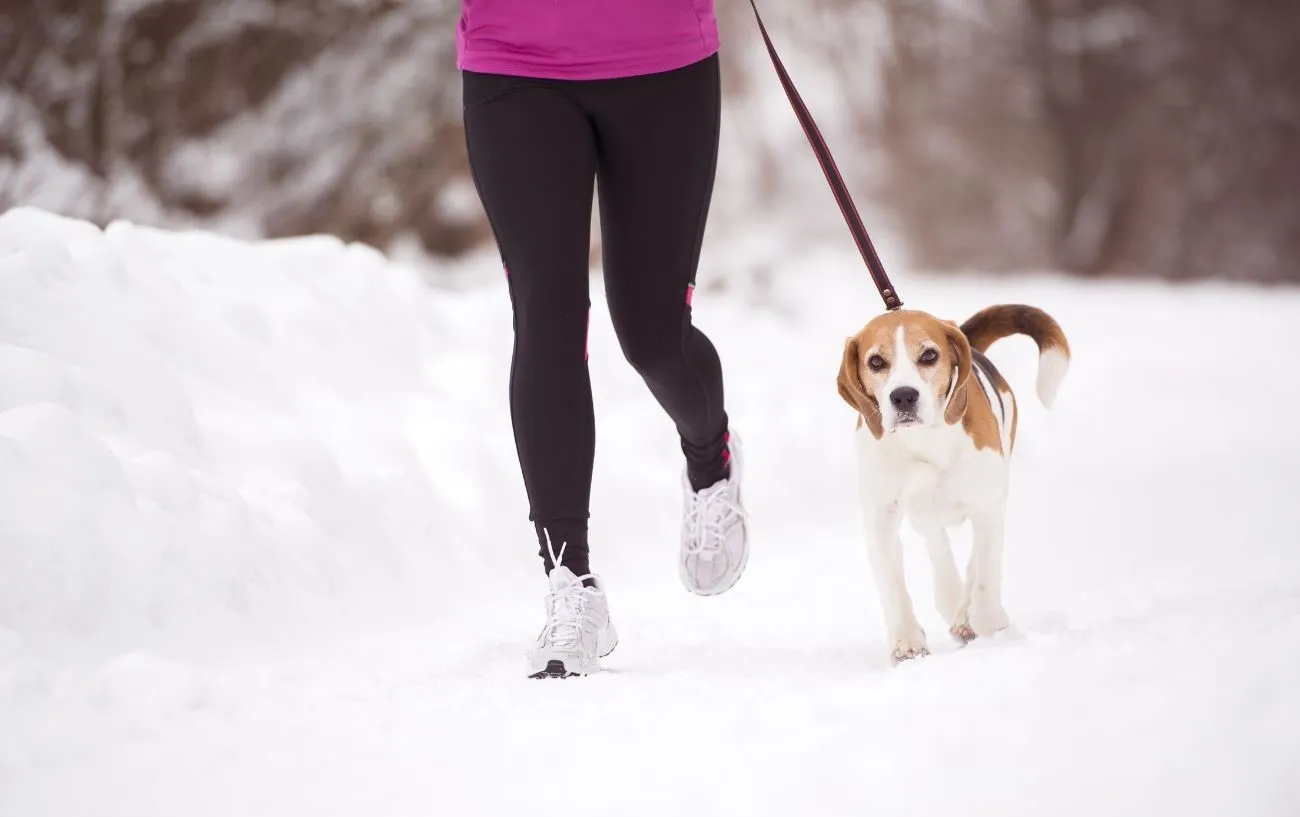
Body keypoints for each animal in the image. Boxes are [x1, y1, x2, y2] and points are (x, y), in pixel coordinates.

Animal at [837, 303, 1071, 660]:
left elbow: (985, 573)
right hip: (923, 513)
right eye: (876, 361)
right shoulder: (881, 515)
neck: (924, 439)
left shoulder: (987, 505)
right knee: (939, 548)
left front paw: (989, 624)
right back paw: (951, 599)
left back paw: (966, 615)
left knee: (975, 562)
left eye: (929, 355)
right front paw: (906, 641)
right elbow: (892, 583)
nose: (903, 397)